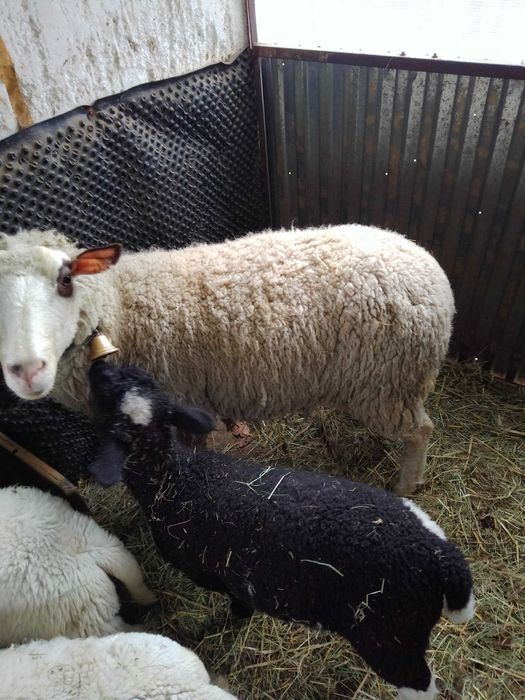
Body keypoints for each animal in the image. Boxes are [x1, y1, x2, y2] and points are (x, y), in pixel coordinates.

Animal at [0, 225, 455, 494]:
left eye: (66, 280)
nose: (28, 371)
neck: (120, 309)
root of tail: (432, 271)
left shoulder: (179, 403)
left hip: (386, 383)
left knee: (421, 431)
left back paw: (407, 485)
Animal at [87, 360, 475, 700]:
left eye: (104, 399)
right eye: (136, 376)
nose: (98, 366)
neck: (174, 477)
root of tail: (442, 560)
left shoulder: (212, 571)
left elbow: (237, 600)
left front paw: (237, 617)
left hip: (391, 638)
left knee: (420, 685)